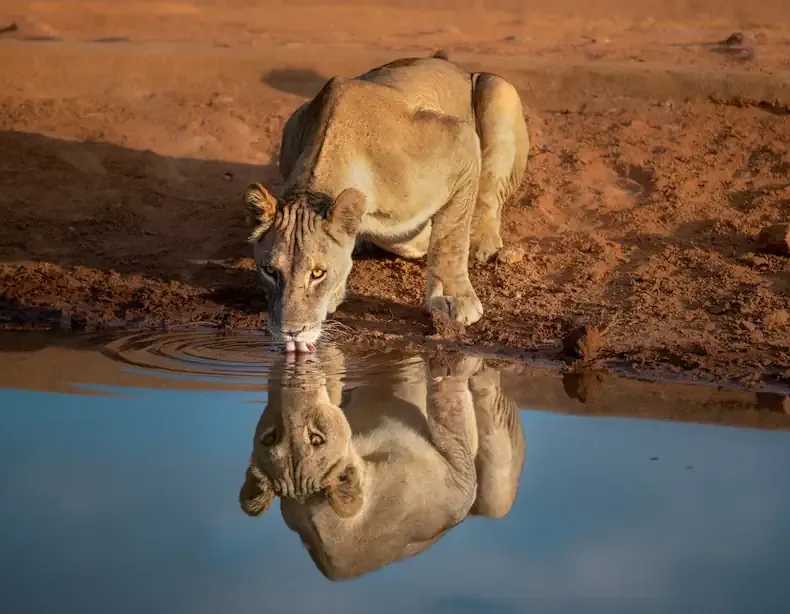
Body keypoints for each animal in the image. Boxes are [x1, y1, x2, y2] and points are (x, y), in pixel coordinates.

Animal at [238, 346, 527, 580]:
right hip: (494, 499)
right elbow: (450, 406)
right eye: (269, 438)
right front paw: (457, 368)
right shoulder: (460, 481)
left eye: (316, 439)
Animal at [244, 50, 530, 349]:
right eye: (270, 271)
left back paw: (481, 241)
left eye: (317, 273)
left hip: (498, 89)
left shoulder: (460, 141)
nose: (290, 332)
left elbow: (450, 236)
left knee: (487, 194)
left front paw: (454, 299)